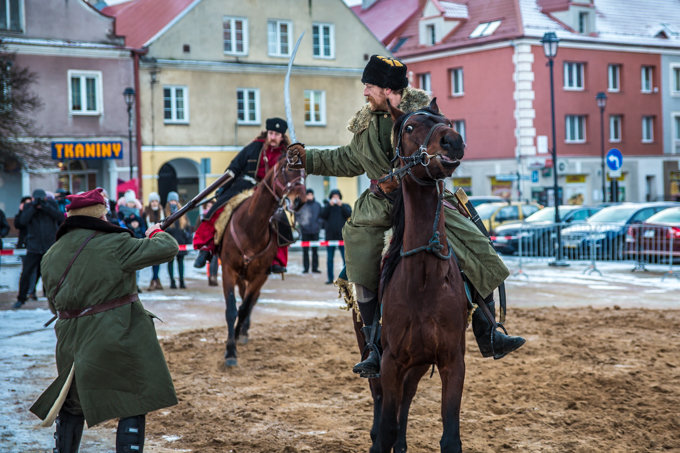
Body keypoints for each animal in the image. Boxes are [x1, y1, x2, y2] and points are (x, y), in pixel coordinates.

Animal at [220, 156, 306, 368]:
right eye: (287, 169)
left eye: (304, 173)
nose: (300, 200)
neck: (251, 226)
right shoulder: (228, 270)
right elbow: (232, 310)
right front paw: (230, 350)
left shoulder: (260, 276)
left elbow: (244, 309)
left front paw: (236, 338)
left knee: (250, 301)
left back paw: (243, 331)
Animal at [354, 100, 470, 452]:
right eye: (409, 127)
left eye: (448, 121)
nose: (453, 141)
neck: (423, 280)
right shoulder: (390, 363)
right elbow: (386, 428)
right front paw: (380, 438)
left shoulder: (451, 362)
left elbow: (450, 436)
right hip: (375, 356)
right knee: (382, 403)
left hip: (418, 364)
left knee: (407, 398)